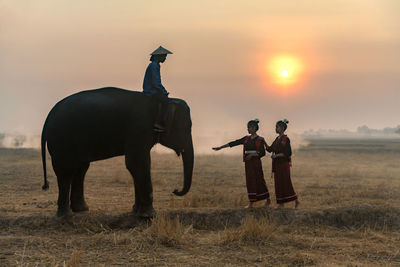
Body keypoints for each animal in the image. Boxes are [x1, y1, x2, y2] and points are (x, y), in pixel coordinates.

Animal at [41, 88, 195, 218]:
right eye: (186, 128)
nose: (175, 190)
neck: (162, 102)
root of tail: (49, 115)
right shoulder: (139, 128)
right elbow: (137, 163)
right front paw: (149, 216)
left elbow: (137, 165)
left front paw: (136, 211)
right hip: (61, 141)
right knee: (66, 172)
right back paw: (65, 215)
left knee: (80, 169)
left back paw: (81, 210)